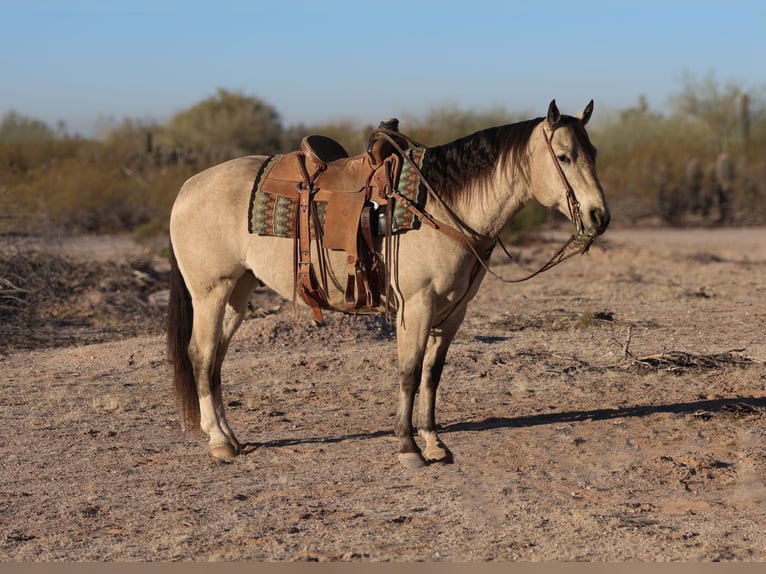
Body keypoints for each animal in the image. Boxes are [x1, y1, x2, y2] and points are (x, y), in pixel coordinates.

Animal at [168, 100, 612, 468]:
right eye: (564, 156)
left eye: (593, 153)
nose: (599, 216)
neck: (442, 208)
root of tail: (187, 187)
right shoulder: (416, 306)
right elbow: (409, 373)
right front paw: (408, 446)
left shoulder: (452, 312)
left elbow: (432, 375)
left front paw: (434, 443)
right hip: (211, 292)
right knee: (201, 355)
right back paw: (219, 443)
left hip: (238, 292)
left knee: (216, 359)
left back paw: (229, 436)